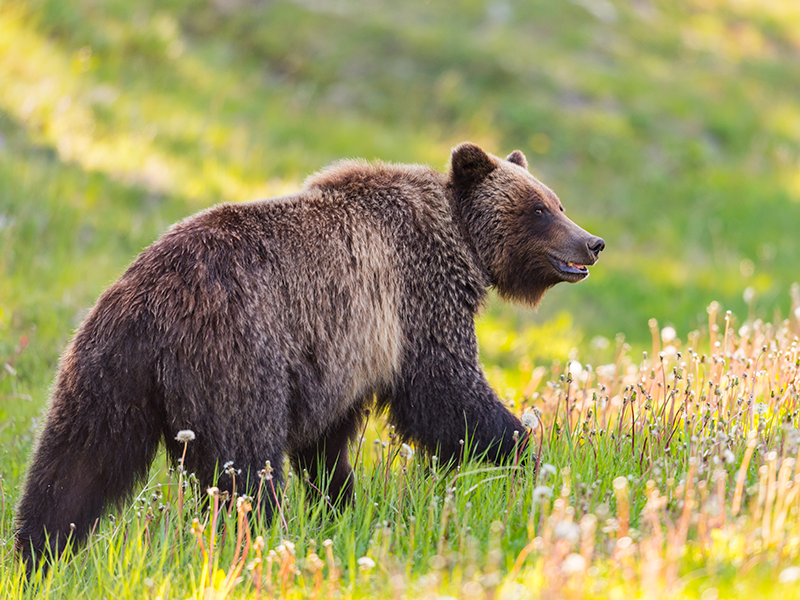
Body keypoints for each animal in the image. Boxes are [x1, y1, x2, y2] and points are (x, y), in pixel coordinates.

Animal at [14, 141, 600, 568]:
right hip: (238, 357)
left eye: (558, 203)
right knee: (246, 469)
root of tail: (151, 300)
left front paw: (339, 504)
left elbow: (327, 443)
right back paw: (253, 546)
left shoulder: (339, 353)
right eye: (540, 209)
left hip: (106, 371)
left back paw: (36, 555)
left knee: (73, 467)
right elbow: (446, 392)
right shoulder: (414, 300)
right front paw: (523, 451)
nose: (591, 242)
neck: (460, 243)